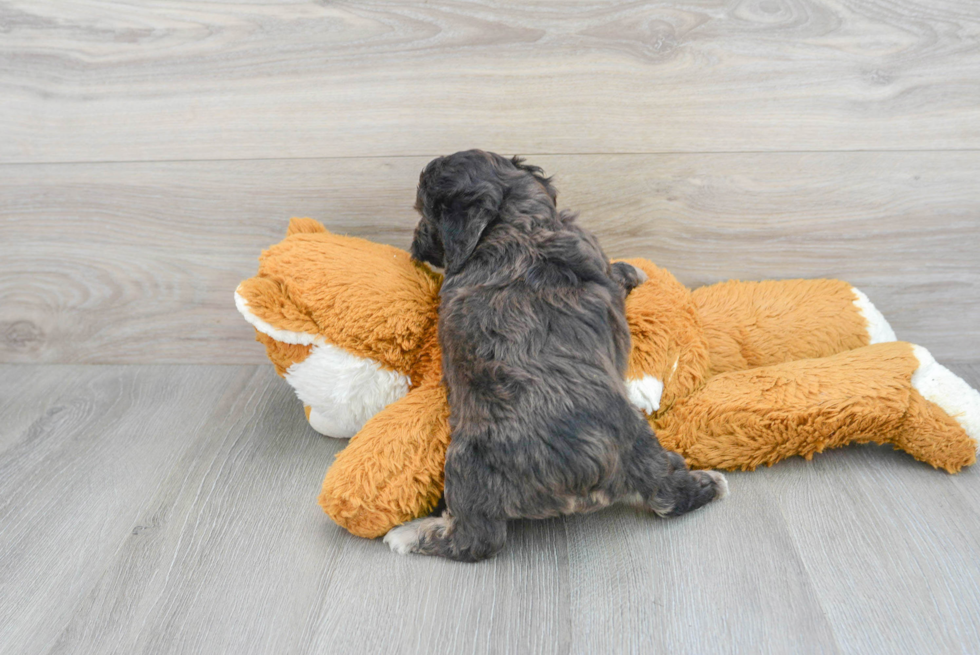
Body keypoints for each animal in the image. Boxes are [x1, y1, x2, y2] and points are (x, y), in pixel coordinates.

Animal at [384, 150, 728, 564]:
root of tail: (571, 479)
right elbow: (620, 271)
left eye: (425, 214)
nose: (415, 247)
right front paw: (638, 271)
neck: (511, 223)